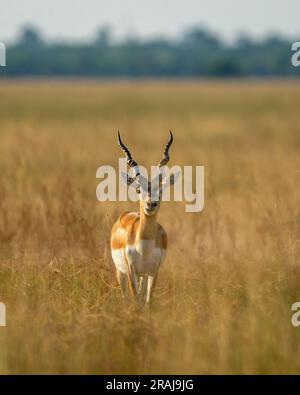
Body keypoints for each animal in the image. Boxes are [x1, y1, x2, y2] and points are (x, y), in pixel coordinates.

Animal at [112, 131, 178, 308]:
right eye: (138, 190)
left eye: (160, 191)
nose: (151, 204)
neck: (144, 248)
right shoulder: (131, 271)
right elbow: (135, 300)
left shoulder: (153, 271)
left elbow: (147, 301)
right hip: (120, 272)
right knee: (125, 297)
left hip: (143, 275)